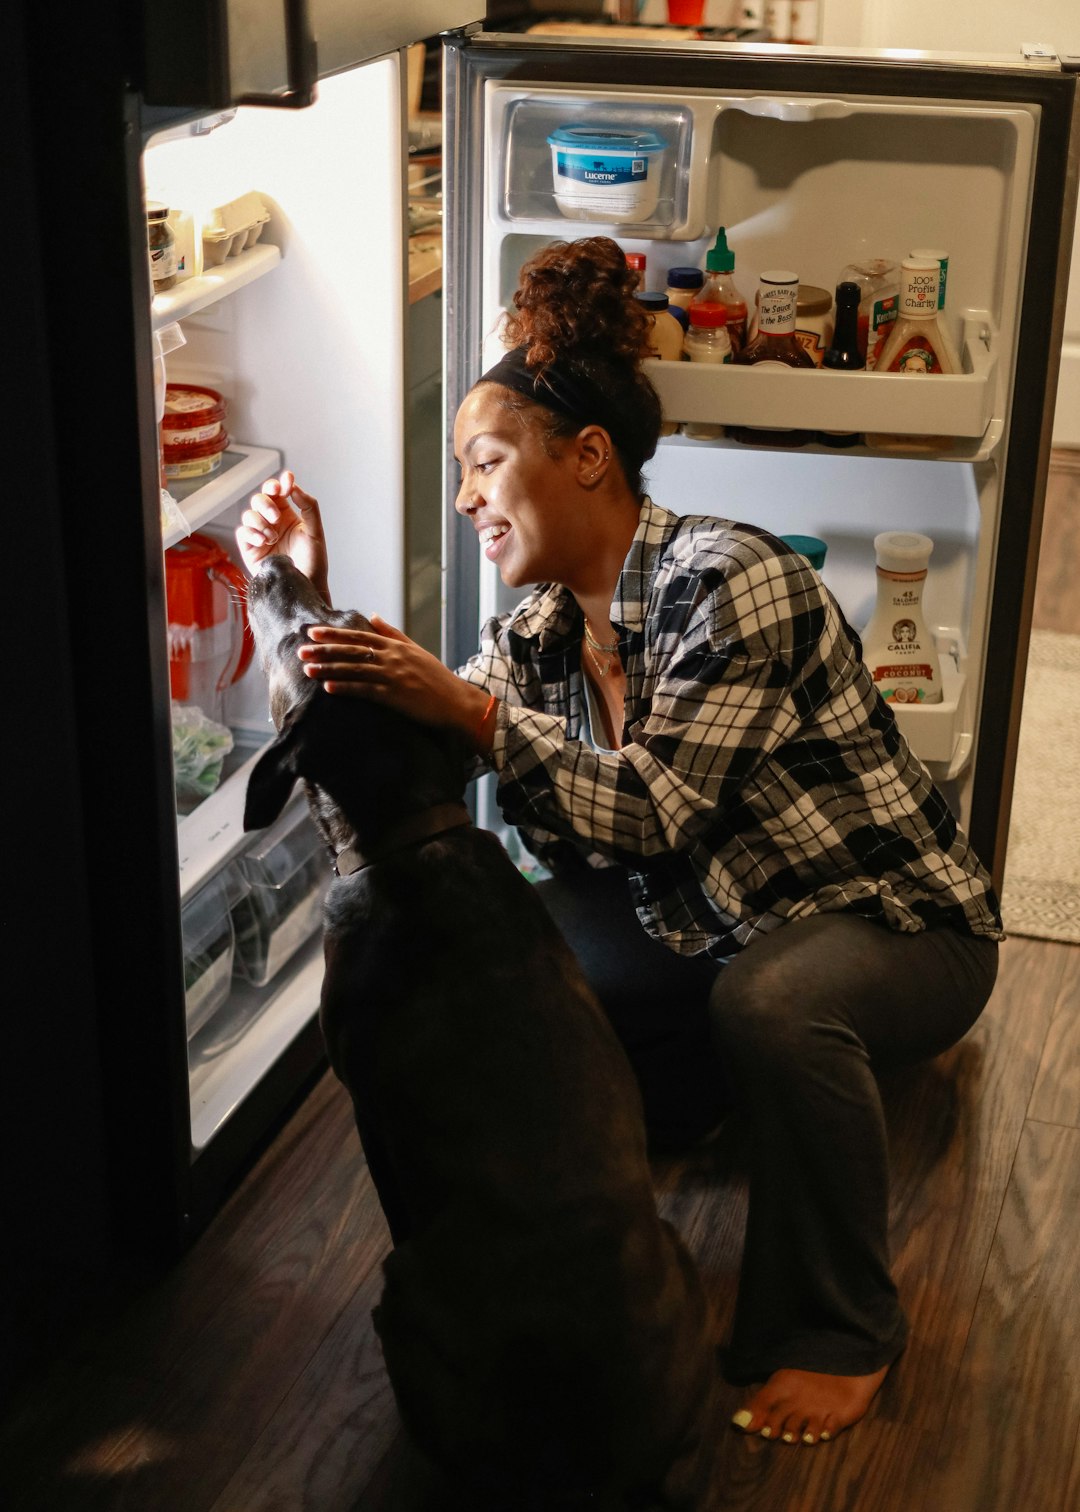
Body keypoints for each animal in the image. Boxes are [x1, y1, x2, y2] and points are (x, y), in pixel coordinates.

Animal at [240, 559, 720, 1512]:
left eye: (305, 633)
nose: (273, 564)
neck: (404, 834)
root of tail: (616, 1478)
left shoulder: (369, 1108)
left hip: (403, 1293)